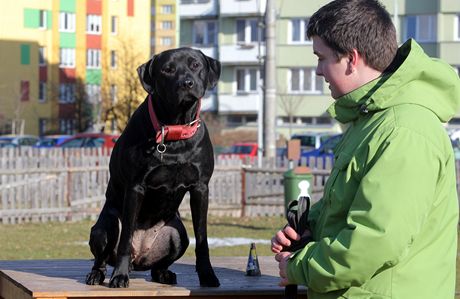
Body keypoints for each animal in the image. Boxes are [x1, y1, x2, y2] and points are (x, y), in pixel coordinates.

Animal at [86, 48, 223, 290]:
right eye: (168, 69)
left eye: (196, 65)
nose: (186, 83)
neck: (175, 128)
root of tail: (140, 258)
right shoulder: (136, 187)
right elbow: (125, 238)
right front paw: (119, 276)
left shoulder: (200, 188)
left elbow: (202, 239)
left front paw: (207, 275)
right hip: (105, 226)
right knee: (102, 256)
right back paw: (98, 274)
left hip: (178, 234)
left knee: (161, 263)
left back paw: (164, 274)